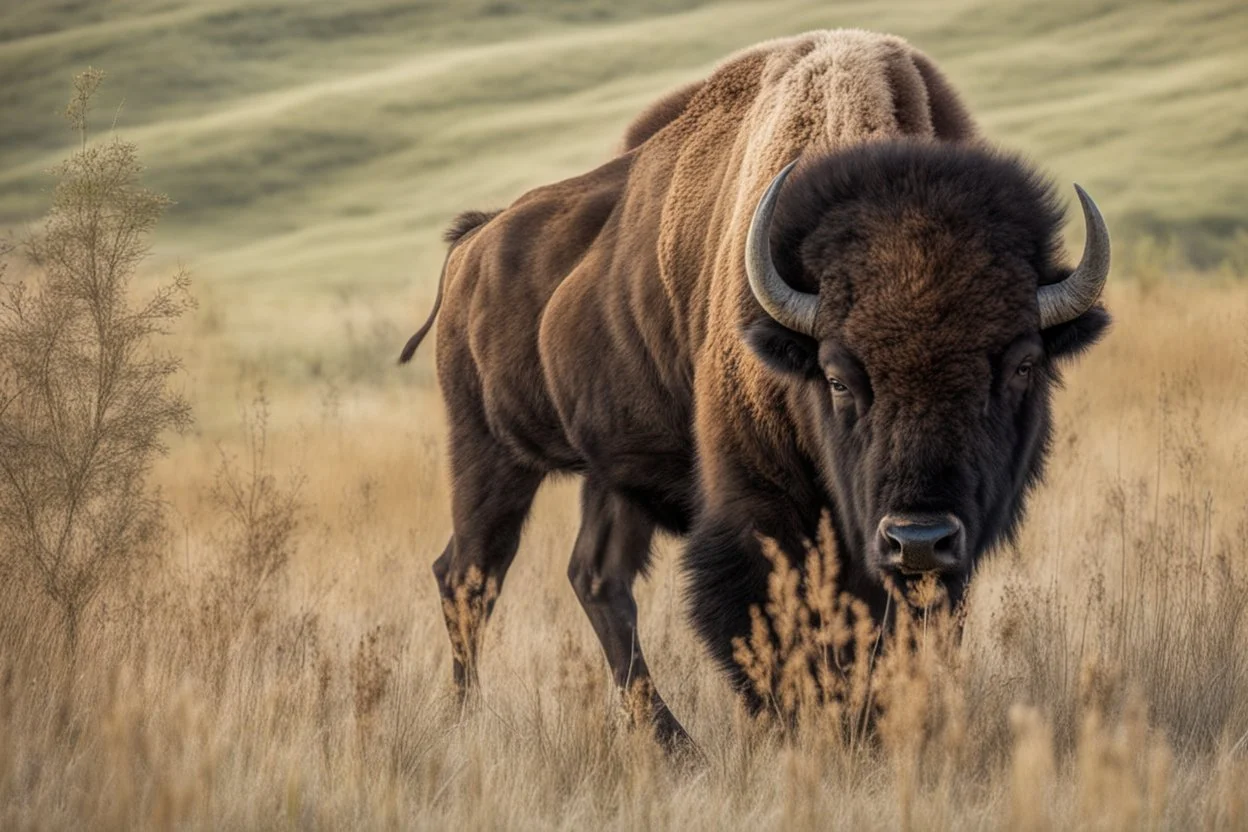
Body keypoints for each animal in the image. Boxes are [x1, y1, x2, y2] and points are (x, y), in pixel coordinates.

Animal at [399, 30, 1113, 743]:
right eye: (837, 377)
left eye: (1022, 367)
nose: (918, 538)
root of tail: (471, 244)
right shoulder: (760, 508)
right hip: (489, 452)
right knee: (468, 575)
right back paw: (468, 718)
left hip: (612, 476)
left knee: (596, 578)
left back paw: (672, 742)